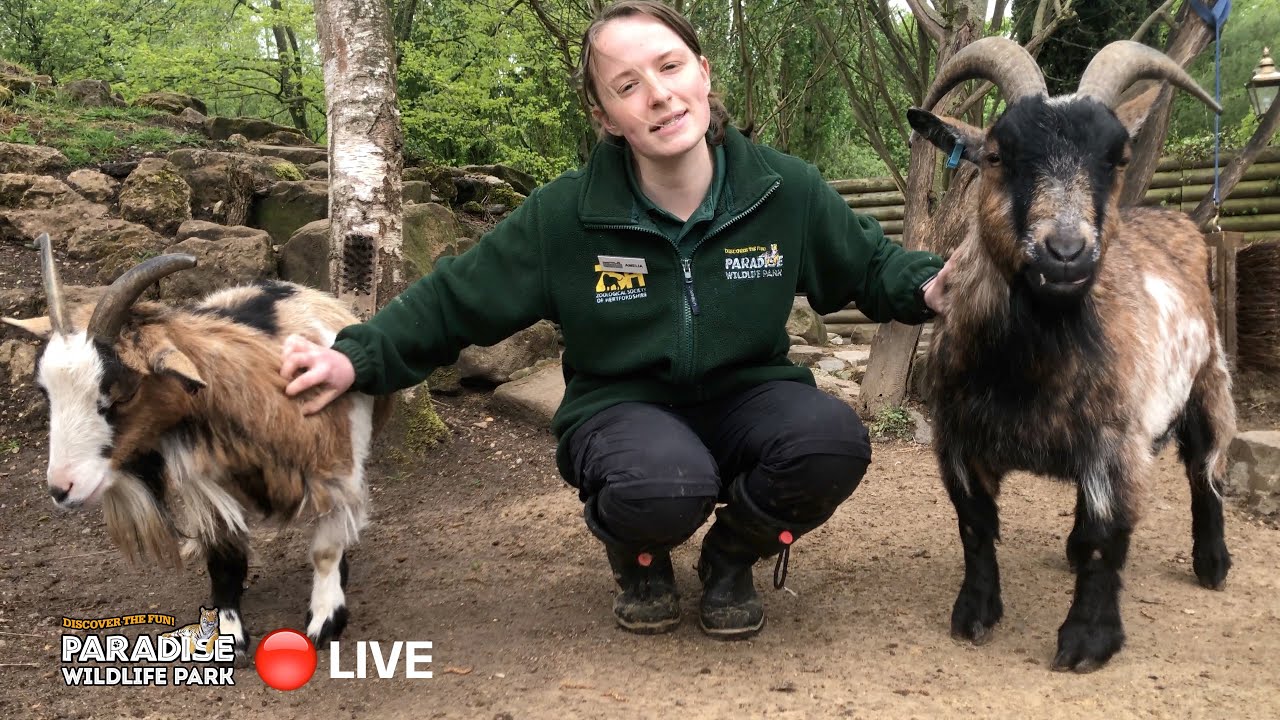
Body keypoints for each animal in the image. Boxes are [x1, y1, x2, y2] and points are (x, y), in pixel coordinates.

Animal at [4, 235, 392, 664]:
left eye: (123, 394)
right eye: (46, 393)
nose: (62, 489)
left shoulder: (337, 467)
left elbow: (326, 548)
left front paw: (325, 619)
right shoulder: (206, 482)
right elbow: (223, 556)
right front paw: (227, 633)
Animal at [907, 40, 1235, 672]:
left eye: (1117, 157)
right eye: (997, 153)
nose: (1065, 253)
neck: (1031, 369)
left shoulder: (1119, 444)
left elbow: (1108, 541)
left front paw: (1086, 642)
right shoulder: (957, 438)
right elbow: (975, 526)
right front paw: (974, 615)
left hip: (1208, 381)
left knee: (1205, 472)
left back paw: (1213, 564)